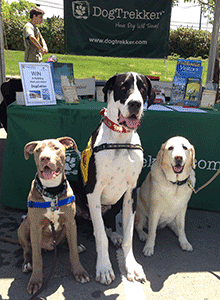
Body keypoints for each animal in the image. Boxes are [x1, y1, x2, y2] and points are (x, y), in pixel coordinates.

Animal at [17, 137, 89, 294]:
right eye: (38, 150)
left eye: (56, 148)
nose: (45, 158)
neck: (52, 193)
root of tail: (49, 246)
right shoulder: (36, 227)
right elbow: (37, 258)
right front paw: (35, 281)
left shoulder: (70, 222)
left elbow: (73, 252)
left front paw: (79, 272)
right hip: (24, 227)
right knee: (27, 249)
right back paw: (27, 264)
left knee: (65, 243)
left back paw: (76, 246)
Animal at [75, 72, 154, 286]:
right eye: (123, 87)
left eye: (142, 88)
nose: (135, 104)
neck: (120, 140)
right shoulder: (93, 192)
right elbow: (100, 237)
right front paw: (104, 268)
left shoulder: (130, 193)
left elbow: (128, 235)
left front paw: (132, 266)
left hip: (116, 203)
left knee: (107, 223)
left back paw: (115, 235)